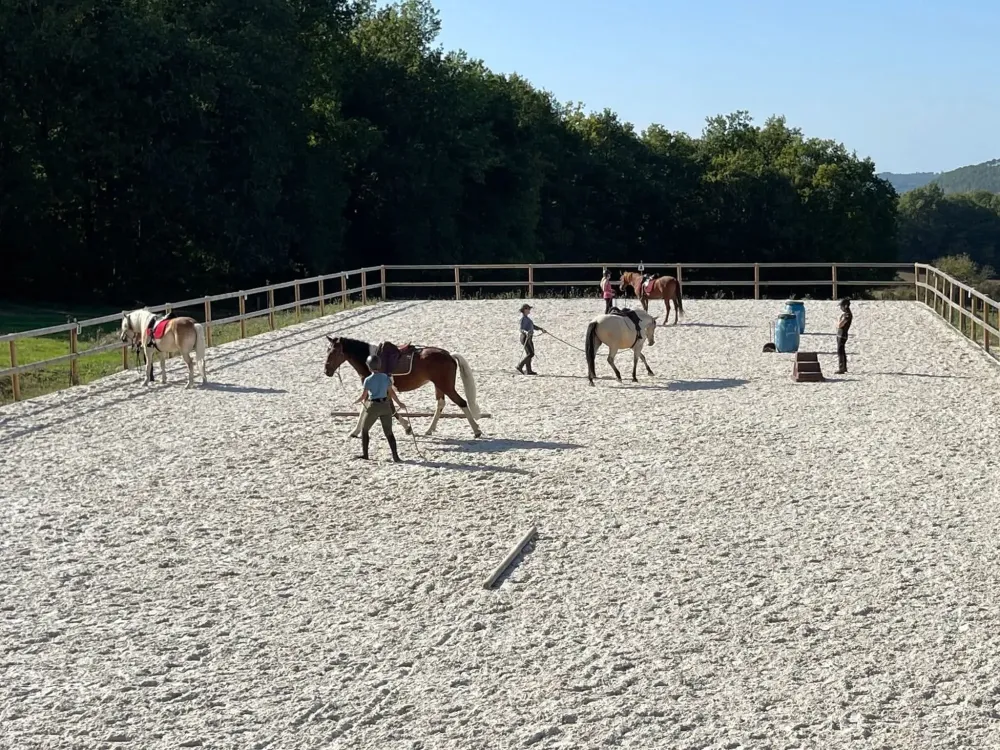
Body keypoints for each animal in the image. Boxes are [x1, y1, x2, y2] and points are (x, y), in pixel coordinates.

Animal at [324, 336, 483, 438]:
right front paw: (355, 431)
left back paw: (476, 430)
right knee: (440, 404)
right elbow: (367, 409)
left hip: (446, 386)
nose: (326, 371)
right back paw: (430, 429)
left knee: (461, 402)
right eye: (327, 351)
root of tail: (449, 355)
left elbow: (389, 410)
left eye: (334, 352)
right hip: (439, 386)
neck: (369, 360)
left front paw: (407, 427)